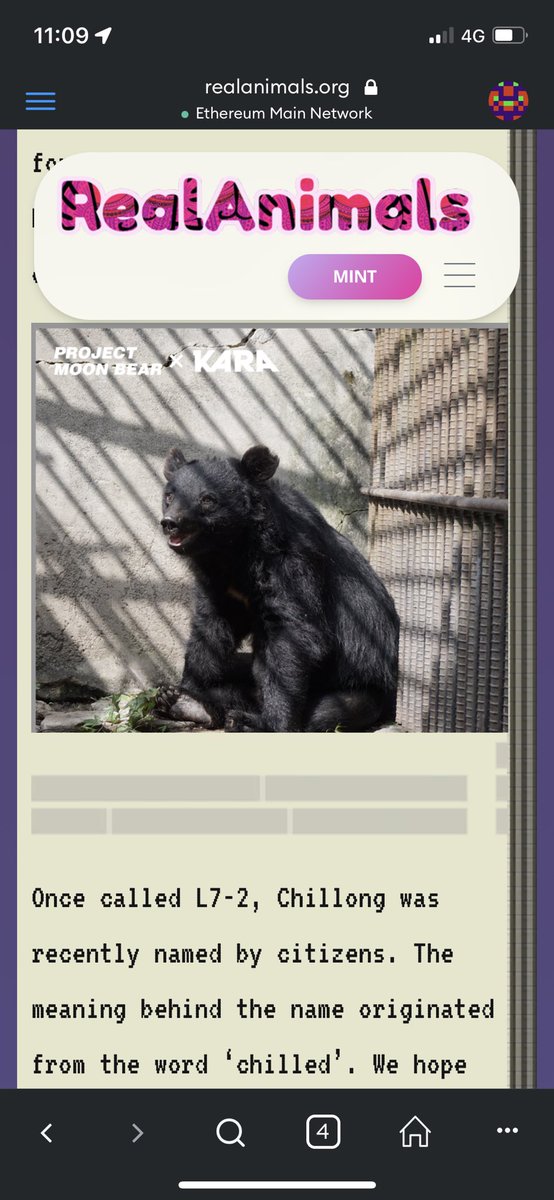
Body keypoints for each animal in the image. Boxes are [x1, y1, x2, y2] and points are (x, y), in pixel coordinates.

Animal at [161, 444, 399, 732]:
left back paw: (243, 720)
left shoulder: (289, 562)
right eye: (169, 496)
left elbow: (292, 631)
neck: (230, 549)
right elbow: (211, 628)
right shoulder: (219, 586)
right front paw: (186, 692)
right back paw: (187, 704)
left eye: (207, 500)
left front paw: (272, 723)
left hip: (359, 686)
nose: (170, 522)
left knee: (329, 710)